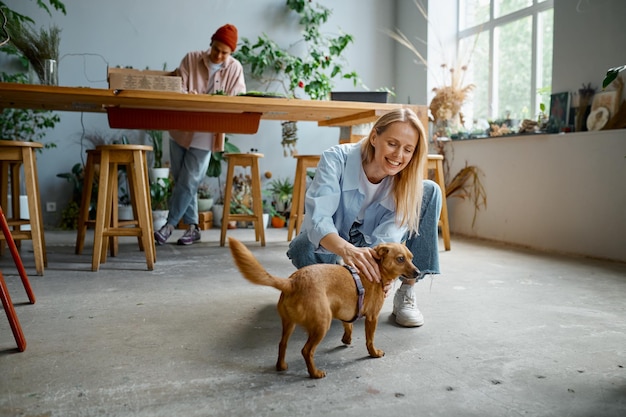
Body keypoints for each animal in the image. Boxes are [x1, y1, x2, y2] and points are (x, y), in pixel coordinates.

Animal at [227, 237, 416, 376]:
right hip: (321, 325)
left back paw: (281, 366)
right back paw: (315, 373)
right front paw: (374, 353)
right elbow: (370, 340)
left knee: (282, 344)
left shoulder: (345, 311)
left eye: (411, 258)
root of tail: (293, 282)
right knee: (306, 351)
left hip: (289, 324)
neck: (377, 268)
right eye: (400, 259)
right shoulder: (372, 317)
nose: (418, 272)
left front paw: (347, 339)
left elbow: (348, 326)